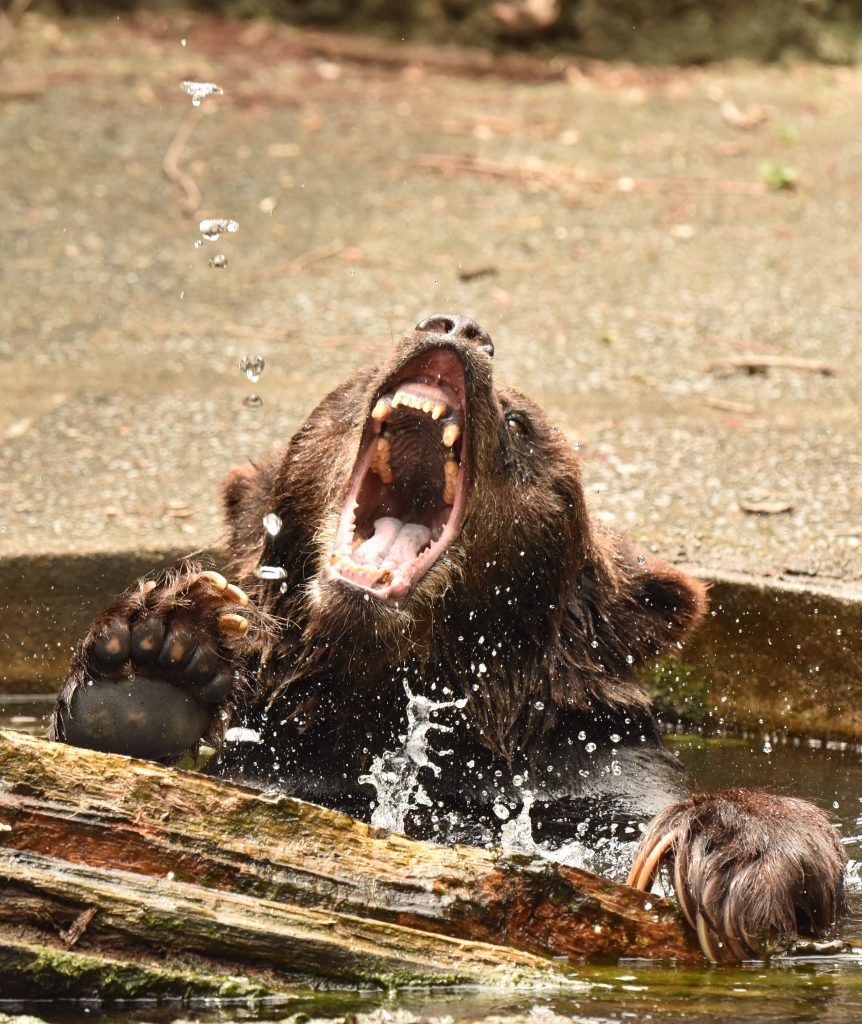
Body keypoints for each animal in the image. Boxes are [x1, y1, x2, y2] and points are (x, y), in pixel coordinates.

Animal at [50, 311, 843, 958]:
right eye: (346, 391)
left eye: (519, 424)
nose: (458, 327)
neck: (390, 687)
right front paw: (157, 655)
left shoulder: (588, 777)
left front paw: (739, 842)